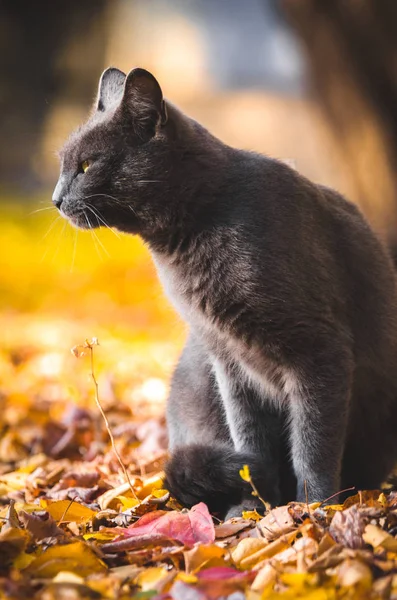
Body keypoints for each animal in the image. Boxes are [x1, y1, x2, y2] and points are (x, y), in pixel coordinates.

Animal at [53, 67, 397, 520]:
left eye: (86, 165)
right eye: (63, 165)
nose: (55, 199)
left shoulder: (319, 349)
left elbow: (313, 443)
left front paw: (313, 511)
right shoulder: (228, 360)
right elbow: (250, 441)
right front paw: (253, 511)